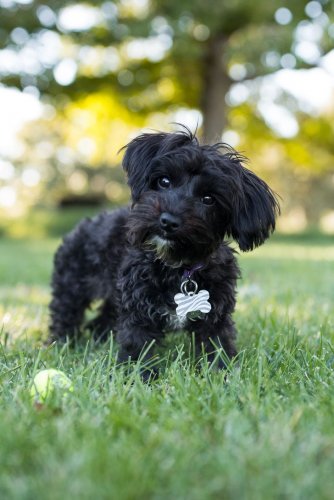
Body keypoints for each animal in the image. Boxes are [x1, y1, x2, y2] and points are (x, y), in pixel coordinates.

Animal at [49, 127, 280, 374]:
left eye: (208, 199)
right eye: (164, 181)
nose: (168, 221)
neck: (178, 267)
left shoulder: (215, 314)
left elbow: (217, 346)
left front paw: (221, 374)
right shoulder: (138, 311)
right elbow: (136, 345)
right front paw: (137, 376)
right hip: (73, 286)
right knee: (65, 314)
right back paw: (60, 344)